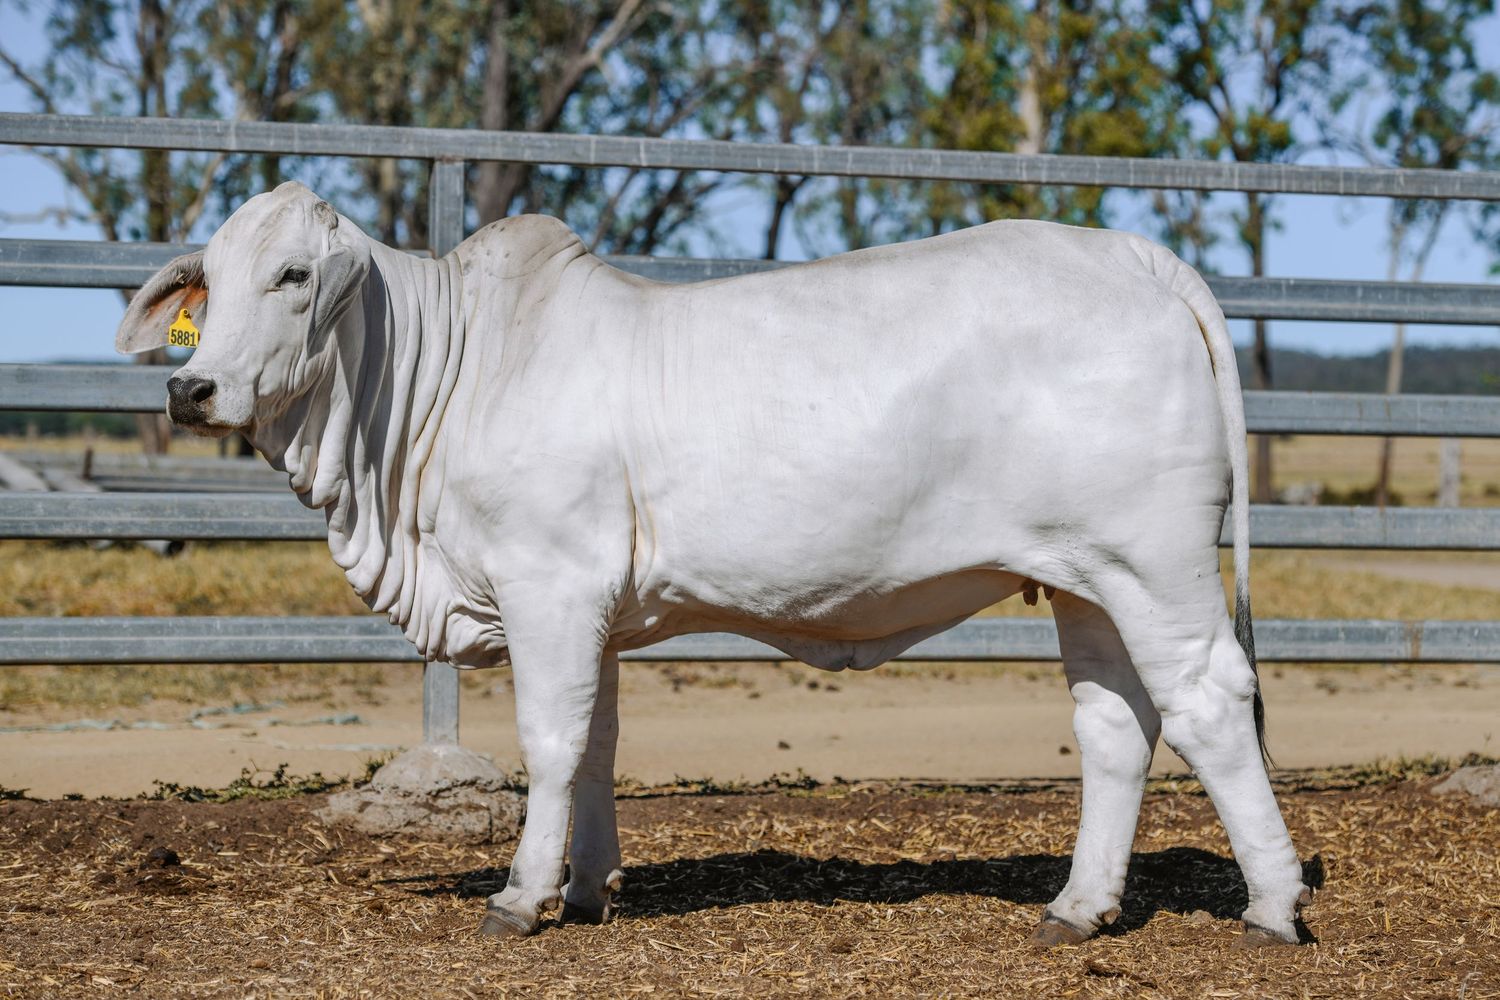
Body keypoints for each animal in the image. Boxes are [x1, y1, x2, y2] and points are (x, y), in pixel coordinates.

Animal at [117, 181, 1311, 947]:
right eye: (209, 283)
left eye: (293, 273)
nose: (192, 388)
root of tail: (1136, 256)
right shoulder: (593, 608)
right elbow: (598, 742)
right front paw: (586, 889)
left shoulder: (549, 586)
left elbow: (551, 743)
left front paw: (520, 896)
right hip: (1084, 579)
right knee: (1117, 724)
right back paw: (1076, 910)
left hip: (1154, 563)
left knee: (1210, 700)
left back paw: (1273, 906)